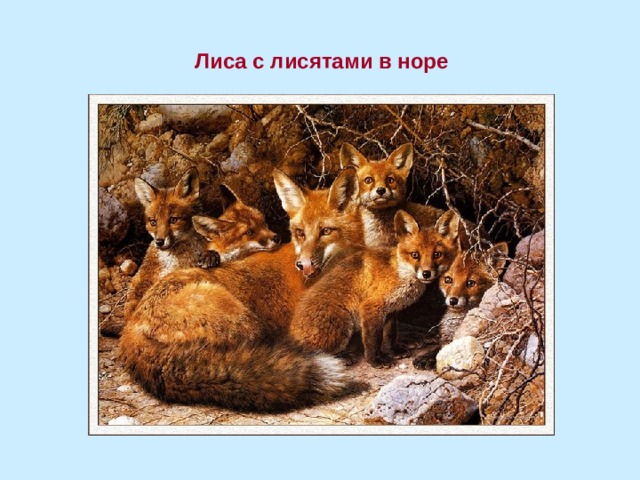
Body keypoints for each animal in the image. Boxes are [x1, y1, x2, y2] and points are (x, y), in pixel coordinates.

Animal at [122, 168, 279, 324]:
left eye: (173, 220)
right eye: (153, 222)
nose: (159, 242)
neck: (177, 262)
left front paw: (210, 257)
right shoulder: (143, 280)